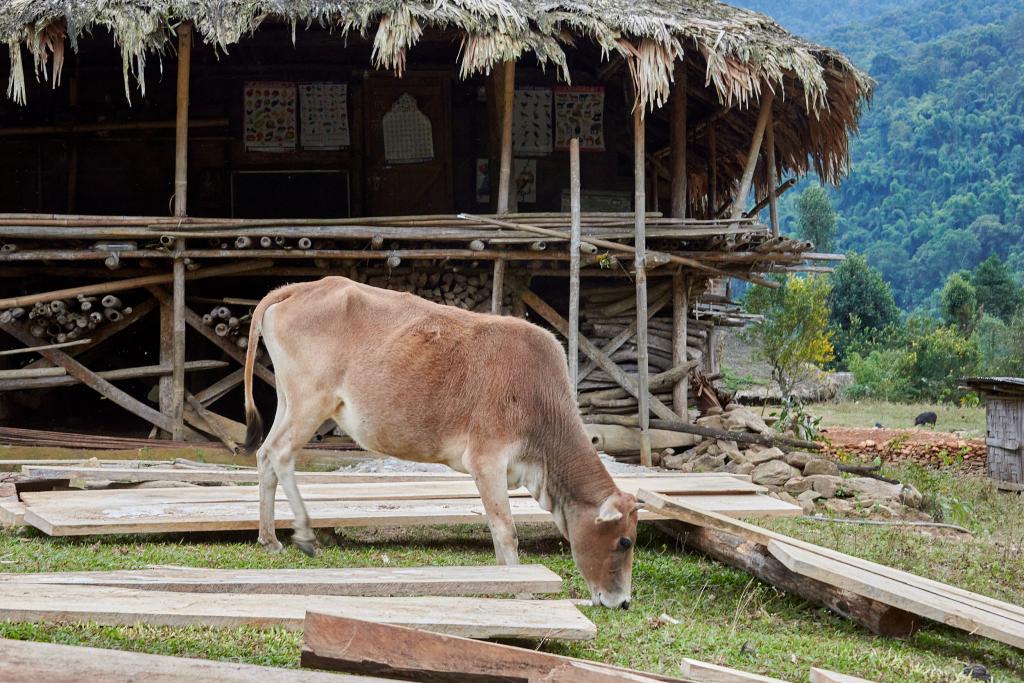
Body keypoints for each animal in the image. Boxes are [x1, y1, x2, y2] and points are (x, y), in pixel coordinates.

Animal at [242, 276, 634, 610]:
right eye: (624, 541)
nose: (623, 602)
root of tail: (300, 288)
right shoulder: (487, 460)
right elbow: (505, 531)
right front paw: (521, 585)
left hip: (289, 402)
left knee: (264, 456)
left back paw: (270, 539)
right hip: (311, 402)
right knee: (279, 454)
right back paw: (305, 534)